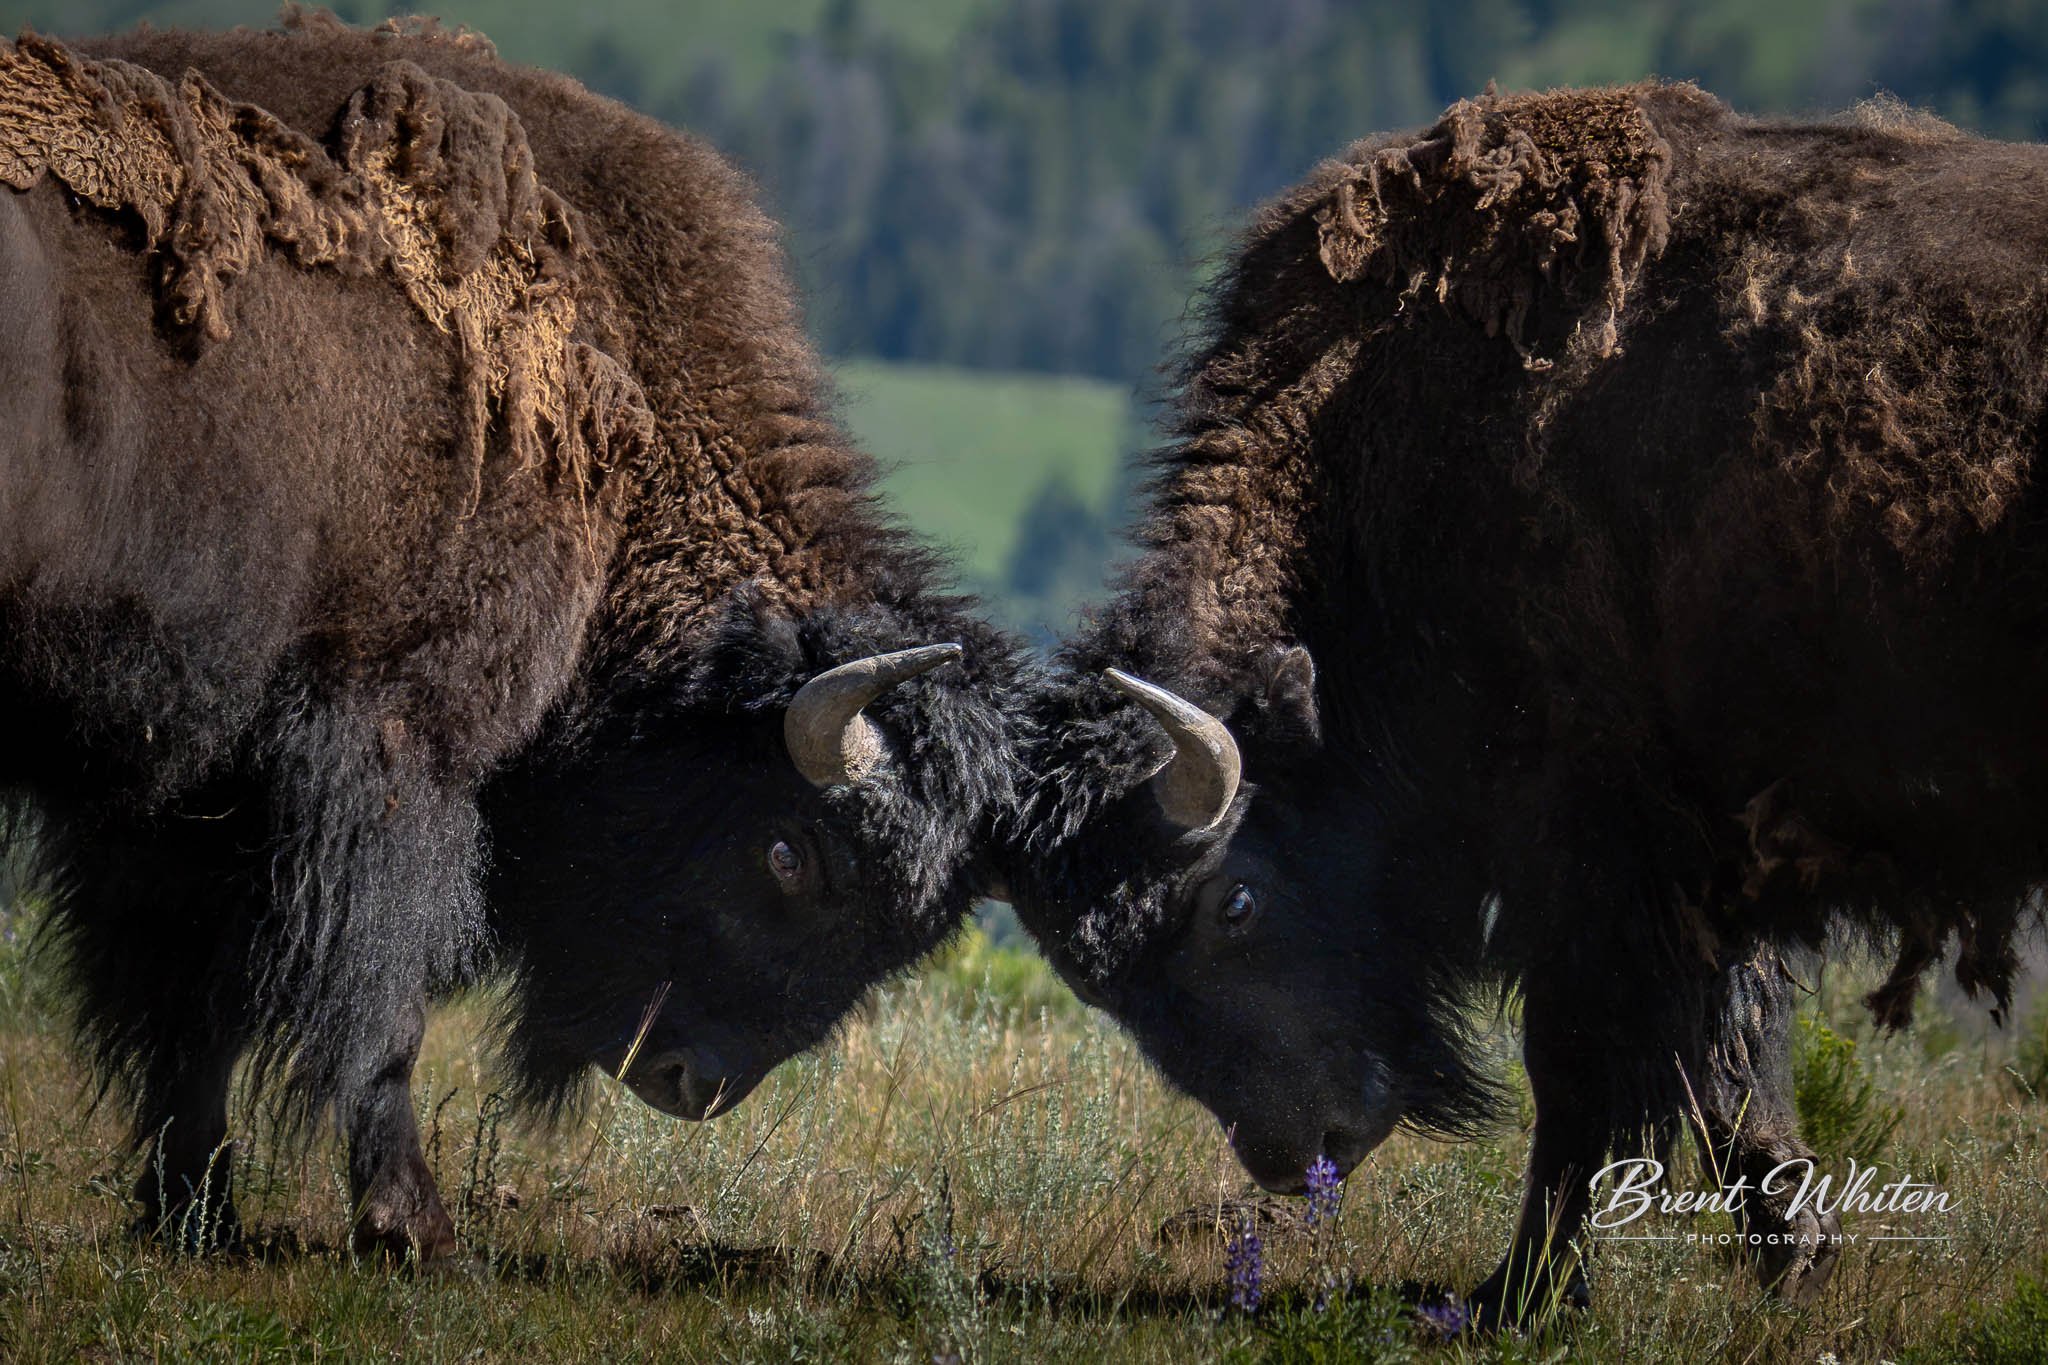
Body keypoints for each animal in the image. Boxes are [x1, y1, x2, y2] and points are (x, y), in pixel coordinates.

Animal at [4, 18, 1019, 1259]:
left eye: (905, 937)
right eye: (788, 853)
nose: (691, 1080)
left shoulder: (178, 793)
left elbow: (180, 1015)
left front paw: (196, 1213)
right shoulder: (391, 750)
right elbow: (370, 1001)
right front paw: (411, 1225)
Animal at [1003, 83, 2047, 1323]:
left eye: (1234, 902)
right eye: (1095, 980)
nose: (1295, 1152)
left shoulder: (1601, 860)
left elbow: (1589, 1068)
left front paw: (1518, 1294)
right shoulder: (1691, 878)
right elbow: (1724, 1068)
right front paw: (1792, 1252)